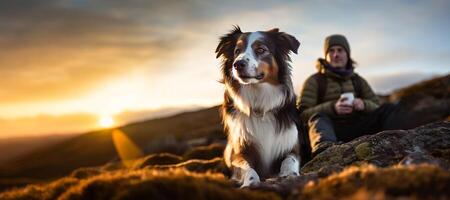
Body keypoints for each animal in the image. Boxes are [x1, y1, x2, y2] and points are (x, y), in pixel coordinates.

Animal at [215, 26, 300, 188]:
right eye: (237, 51)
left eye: (261, 49)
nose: (238, 64)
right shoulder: (239, 151)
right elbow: (247, 167)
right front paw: (251, 182)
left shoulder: (291, 145)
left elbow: (290, 159)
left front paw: (289, 174)